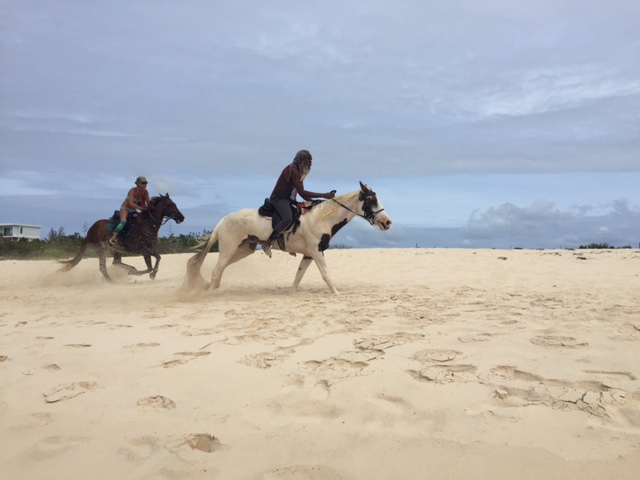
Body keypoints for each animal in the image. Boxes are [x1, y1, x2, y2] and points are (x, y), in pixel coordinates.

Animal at [182, 181, 392, 295]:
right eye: (371, 200)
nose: (387, 222)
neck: (321, 218)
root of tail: (223, 221)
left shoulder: (309, 254)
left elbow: (298, 276)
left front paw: (292, 294)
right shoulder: (316, 251)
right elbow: (326, 275)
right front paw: (336, 293)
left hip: (241, 251)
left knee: (219, 270)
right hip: (228, 249)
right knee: (216, 271)